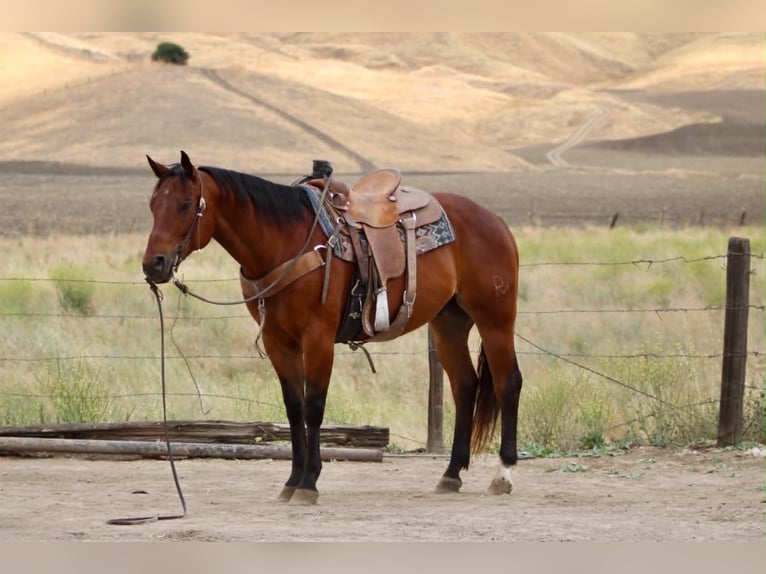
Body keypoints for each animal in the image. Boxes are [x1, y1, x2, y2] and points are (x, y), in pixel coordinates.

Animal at [142, 151, 523, 505]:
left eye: (185, 204)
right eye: (153, 205)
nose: (153, 264)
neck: (286, 242)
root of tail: (495, 221)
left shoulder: (318, 339)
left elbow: (314, 406)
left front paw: (309, 482)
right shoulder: (279, 342)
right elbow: (294, 407)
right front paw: (292, 480)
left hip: (495, 320)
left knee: (508, 383)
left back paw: (503, 474)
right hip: (449, 324)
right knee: (465, 386)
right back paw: (451, 473)